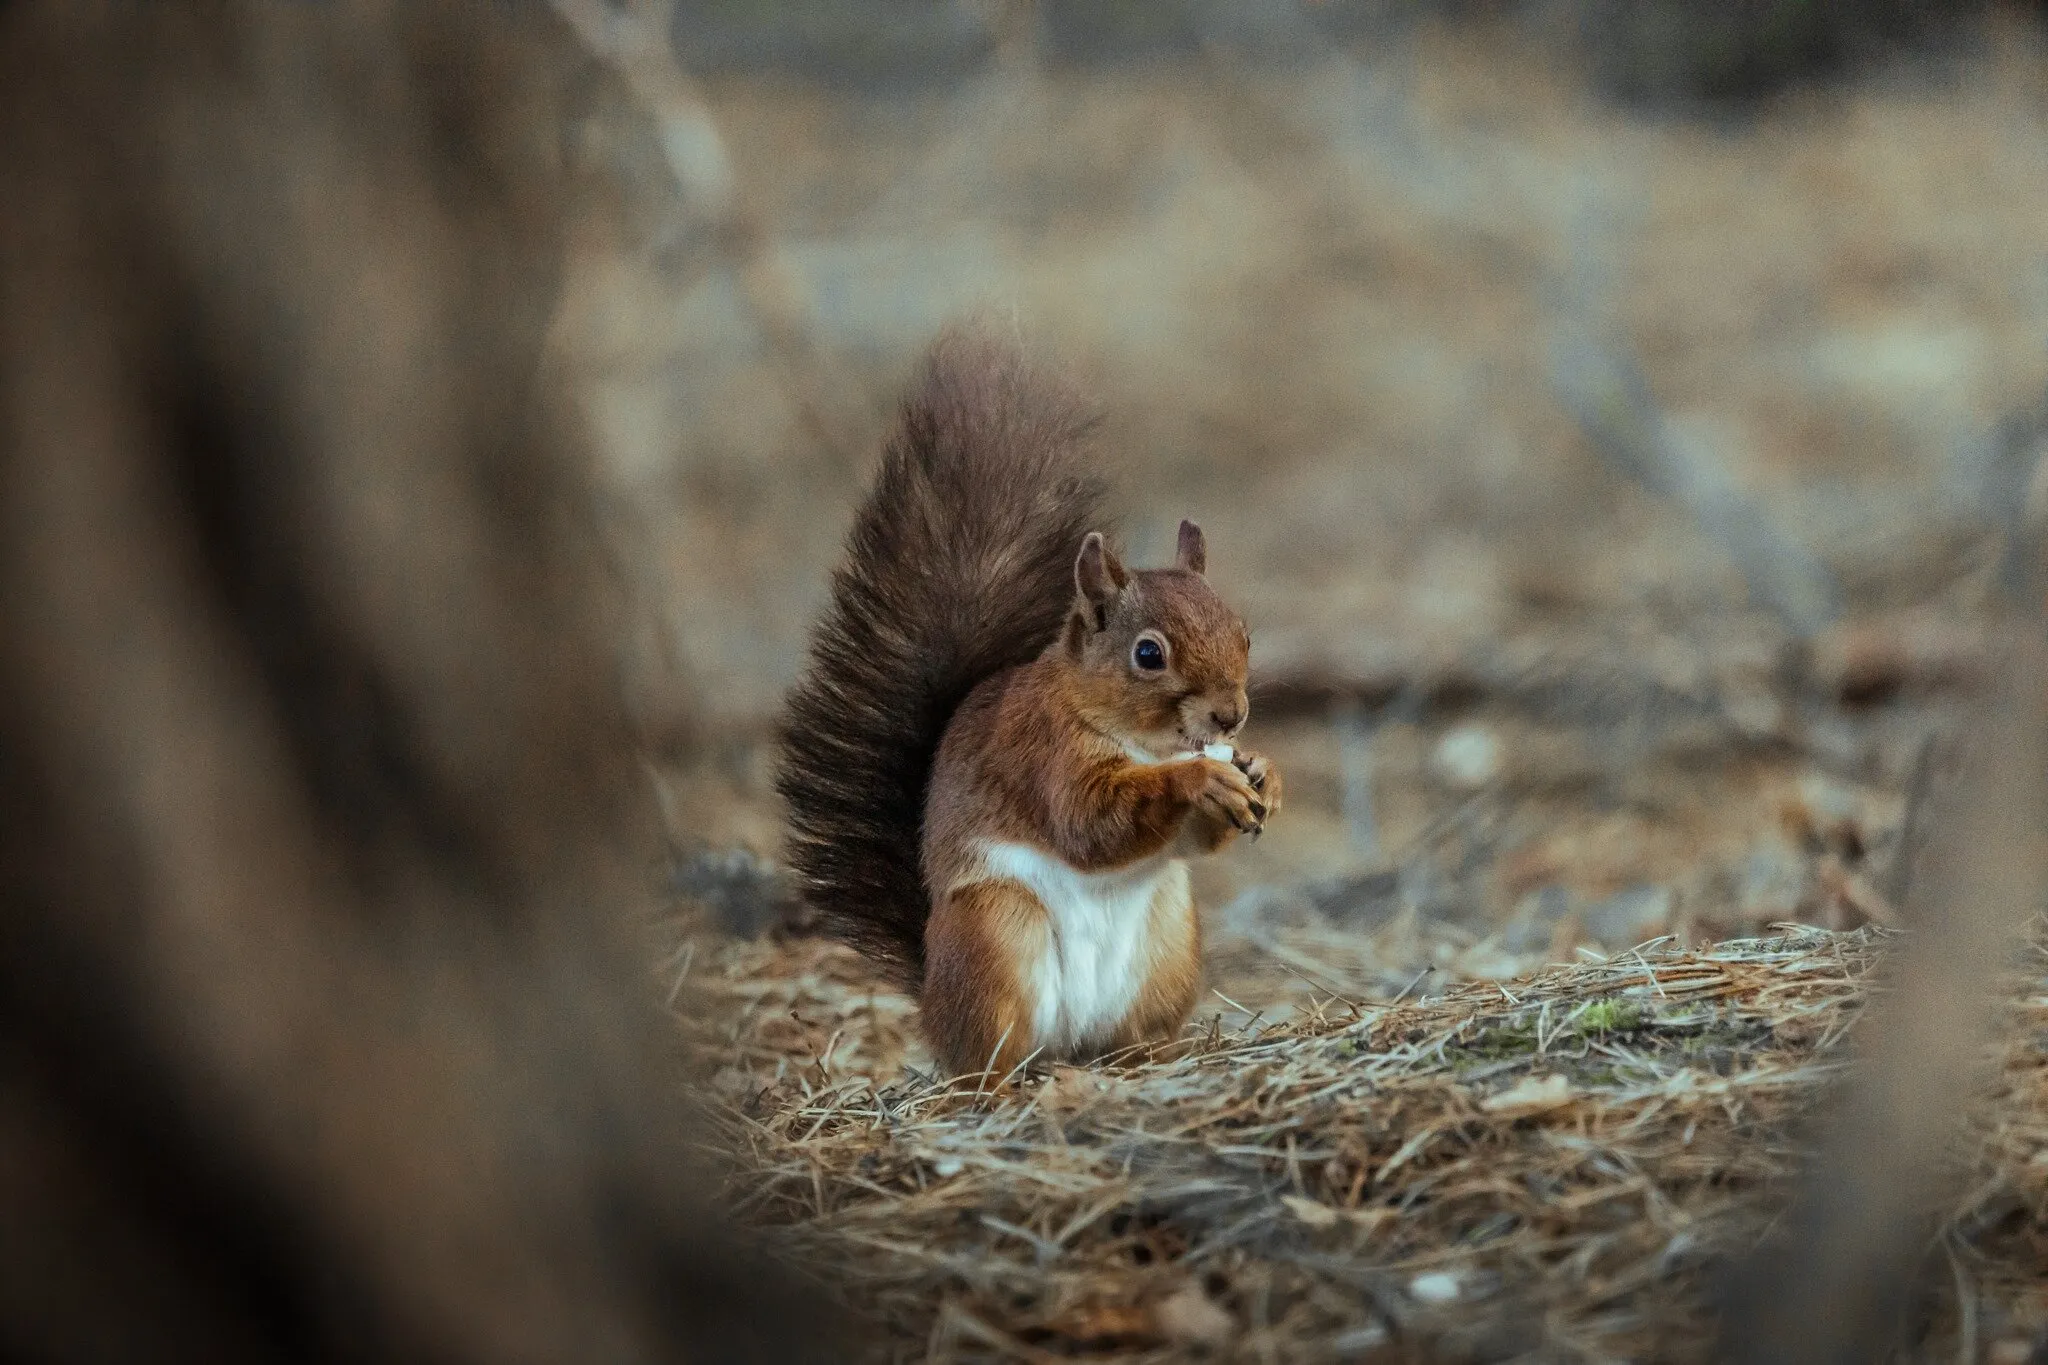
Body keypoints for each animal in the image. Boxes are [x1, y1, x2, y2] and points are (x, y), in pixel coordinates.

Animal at [779, 329, 1282, 1078]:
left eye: (1244, 632)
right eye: (1149, 655)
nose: (1231, 716)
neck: (1142, 742)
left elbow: (1195, 839)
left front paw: (1263, 776)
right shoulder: (1042, 754)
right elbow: (1089, 821)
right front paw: (1200, 778)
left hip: (1169, 937)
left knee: (1124, 1037)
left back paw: (1147, 1057)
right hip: (996, 932)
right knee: (987, 1057)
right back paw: (1004, 1082)